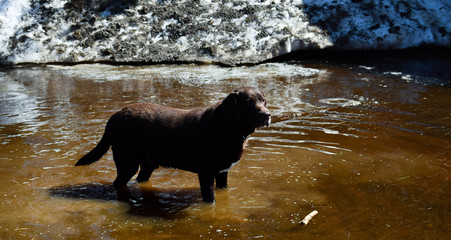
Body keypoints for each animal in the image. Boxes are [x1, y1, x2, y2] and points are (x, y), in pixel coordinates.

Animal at [76, 87, 270, 202]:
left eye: (263, 101)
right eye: (249, 103)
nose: (267, 115)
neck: (228, 126)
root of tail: (115, 115)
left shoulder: (223, 173)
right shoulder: (206, 173)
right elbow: (210, 199)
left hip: (147, 164)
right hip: (127, 163)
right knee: (119, 183)